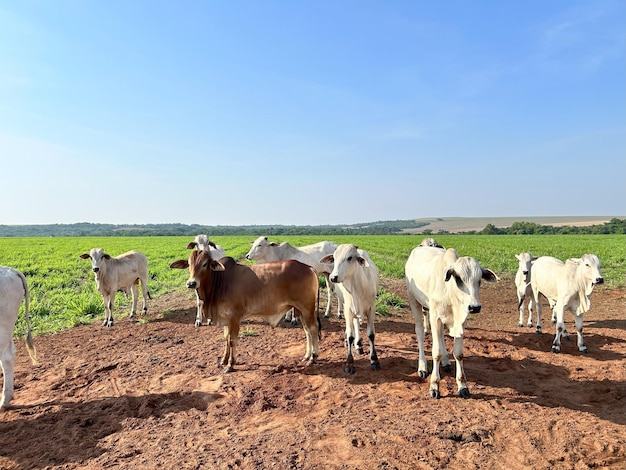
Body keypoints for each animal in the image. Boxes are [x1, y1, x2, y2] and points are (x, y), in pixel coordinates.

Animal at [169, 252, 320, 372]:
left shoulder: (235, 318)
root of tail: (308, 267)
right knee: (307, 331)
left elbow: (232, 341)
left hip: (307, 308)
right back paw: (306, 356)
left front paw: (230, 365)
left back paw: (313, 357)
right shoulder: (226, 319)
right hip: (301, 310)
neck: (220, 282)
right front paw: (223, 360)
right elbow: (226, 338)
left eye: (205, 264)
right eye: (189, 264)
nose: (191, 283)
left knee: (313, 329)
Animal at [320, 244, 378, 372]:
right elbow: (351, 335)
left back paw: (359, 344)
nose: (333, 277)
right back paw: (352, 342)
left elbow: (371, 335)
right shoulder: (348, 309)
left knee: (356, 323)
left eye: (350, 257)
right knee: (352, 326)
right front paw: (349, 363)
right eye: (334, 258)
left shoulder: (371, 308)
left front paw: (374, 360)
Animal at [404, 244, 498, 398]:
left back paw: (446, 362)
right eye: (458, 278)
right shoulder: (435, 317)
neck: (450, 292)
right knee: (420, 332)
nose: (475, 307)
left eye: (479, 280)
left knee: (441, 336)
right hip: (414, 300)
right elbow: (436, 352)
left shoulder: (461, 321)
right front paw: (434, 386)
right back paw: (422, 367)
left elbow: (459, 353)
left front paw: (462, 386)